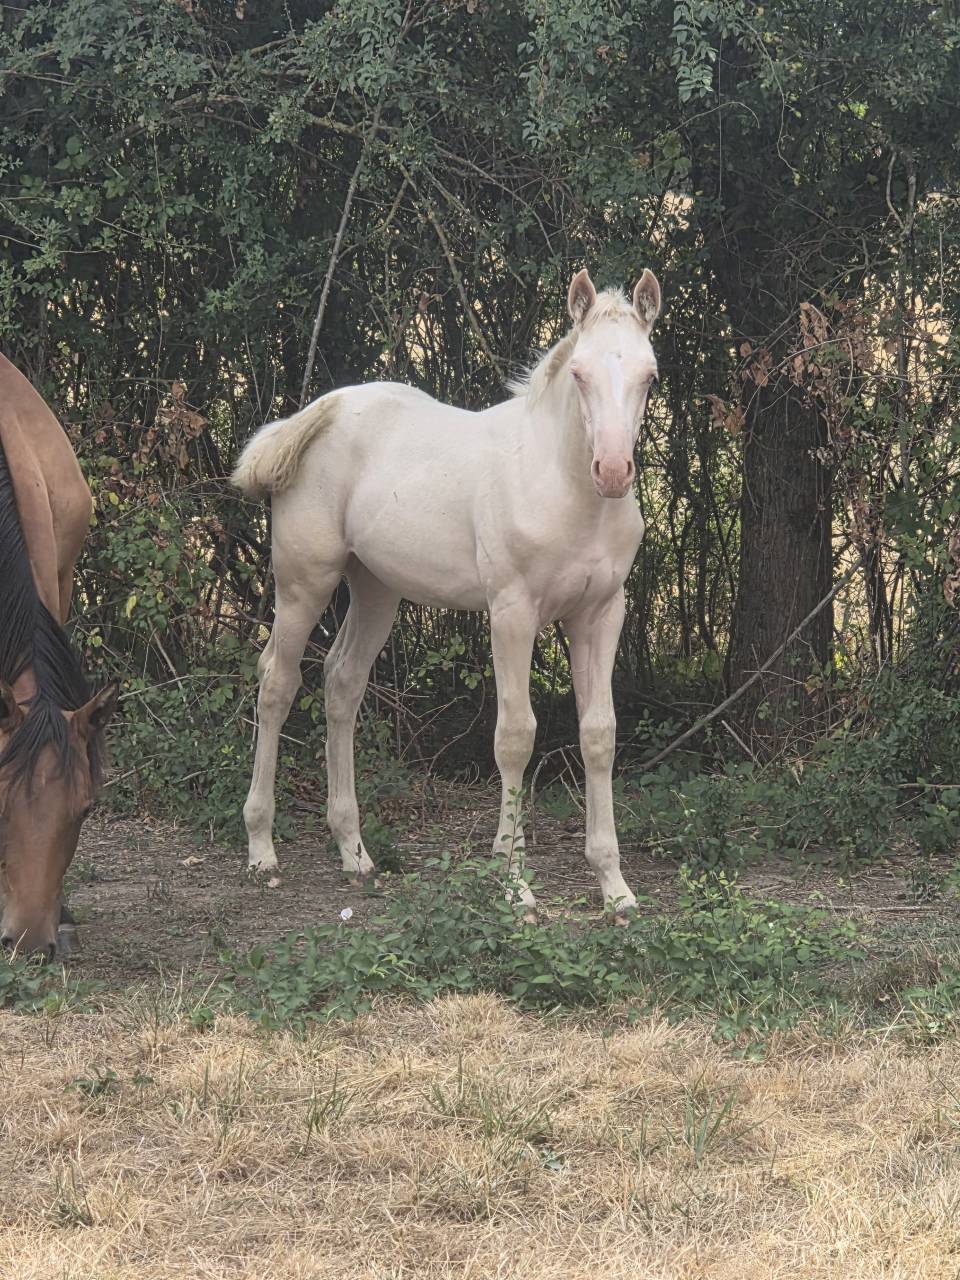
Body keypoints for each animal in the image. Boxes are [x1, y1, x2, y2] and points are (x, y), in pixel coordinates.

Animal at [232, 268, 660, 914]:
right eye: (580, 374)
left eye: (649, 375)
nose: (611, 471)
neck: (563, 487)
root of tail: (315, 414)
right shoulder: (512, 612)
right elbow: (515, 736)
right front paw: (513, 883)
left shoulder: (601, 614)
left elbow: (599, 735)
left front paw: (614, 887)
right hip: (304, 581)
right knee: (277, 683)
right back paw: (261, 847)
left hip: (376, 588)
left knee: (342, 682)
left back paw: (354, 851)